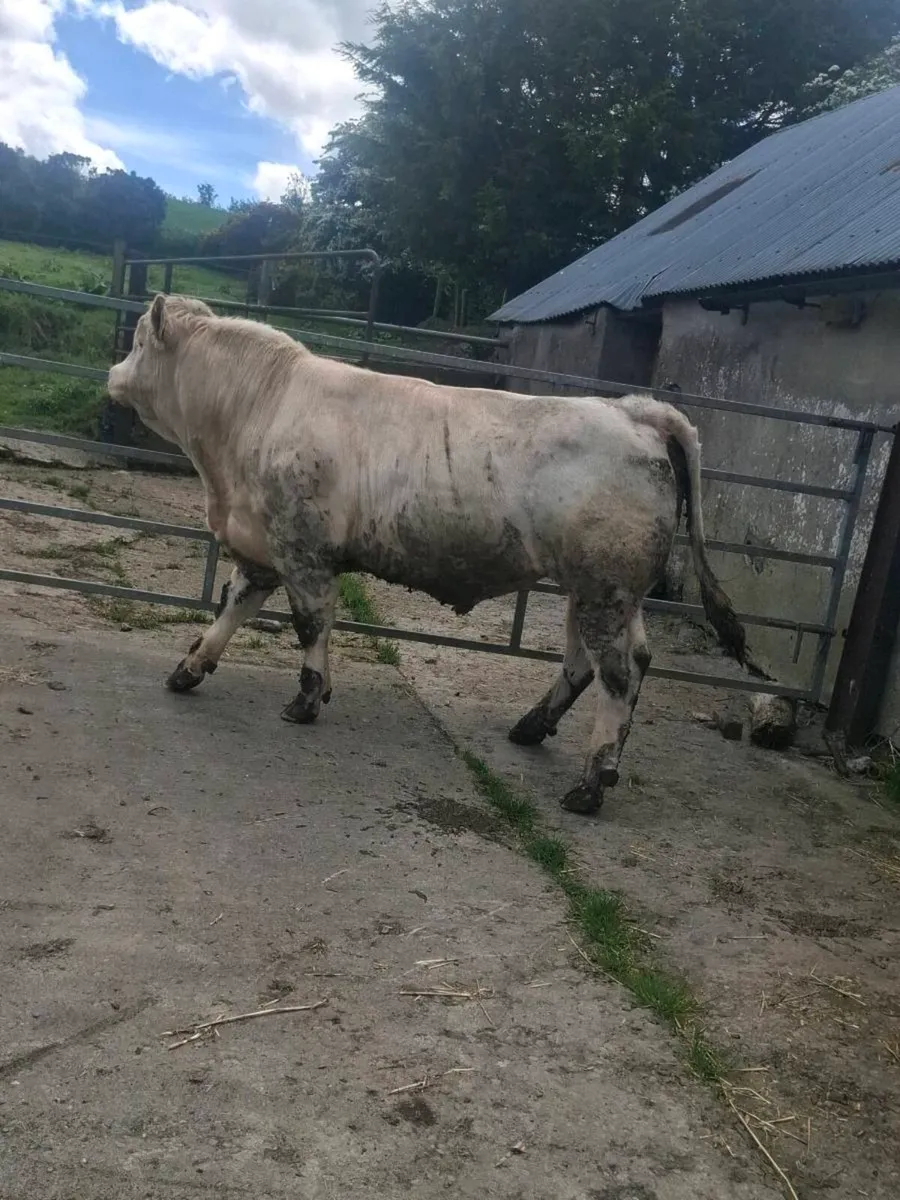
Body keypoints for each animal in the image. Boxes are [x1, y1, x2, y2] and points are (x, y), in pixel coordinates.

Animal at [107, 293, 747, 816]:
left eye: (137, 341)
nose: (112, 373)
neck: (254, 411)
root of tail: (635, 410)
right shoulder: (266, 547)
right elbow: (234, 607)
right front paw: (190, 668)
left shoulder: (304, 548)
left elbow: (310, 623)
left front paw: (308, 698)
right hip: (601, 590)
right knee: (599, 660)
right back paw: (532, 727)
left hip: (604, 586)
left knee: (615, 671)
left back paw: (591, 783)